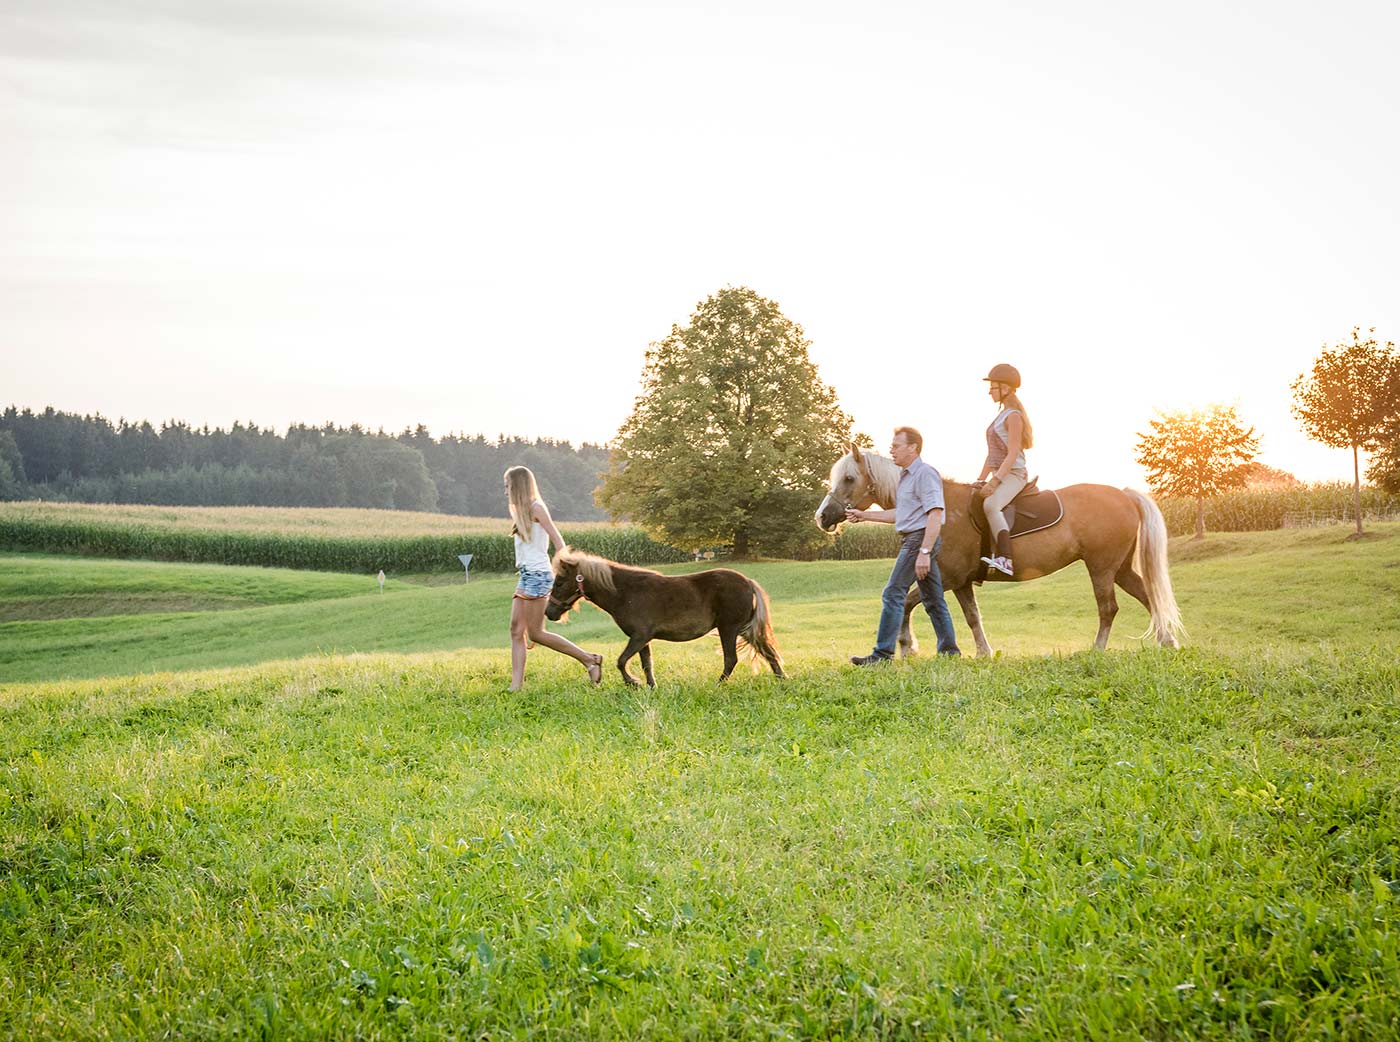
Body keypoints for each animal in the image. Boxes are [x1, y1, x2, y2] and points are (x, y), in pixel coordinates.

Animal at [543, 549, 784, 689]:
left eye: (560, 582)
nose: (549, 613)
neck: (626, 592)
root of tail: (748, 582)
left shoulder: (639, 636)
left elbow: (621, 661)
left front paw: (633, 683)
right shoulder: (642, 639)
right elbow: (646, 664)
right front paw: (651, 686)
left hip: (729, 629)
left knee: (731, 659)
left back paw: (718, 685)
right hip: (743, 629)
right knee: (768, 652)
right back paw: (782, 679)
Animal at [817, 442, 1187, 655]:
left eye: (849, 478)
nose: (823, 516)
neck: (940, 508)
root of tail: (1124, 494)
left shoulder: (949, 578)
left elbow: (909, 602)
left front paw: (908, 647)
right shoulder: (960, 582)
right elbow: (971, 616)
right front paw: (983, 653)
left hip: (1101, 568)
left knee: (1109, 608)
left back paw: (1097, 649)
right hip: (1120, 568)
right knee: (1148, 596)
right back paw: (1167, 642)